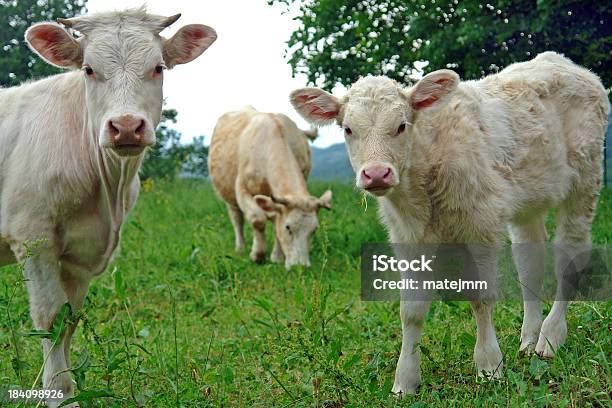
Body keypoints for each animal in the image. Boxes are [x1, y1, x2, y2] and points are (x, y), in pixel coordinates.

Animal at [0, 8, 216, 404]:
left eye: (159, 67)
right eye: (88, 69)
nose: (126, 126)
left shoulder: (82, 252)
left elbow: (69, 319)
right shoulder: (32, 238)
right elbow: (50, 317)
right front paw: (58, 395)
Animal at [212, 107, 334, 270]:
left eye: (314, 229)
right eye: (288, 227)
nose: (300, 266)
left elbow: (276, 222)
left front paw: (276, 257)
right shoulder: (242, 190)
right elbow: (257, 219)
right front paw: (257, 255)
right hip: (229, 195)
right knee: (237, 218)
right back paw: (240, 247)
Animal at [290, 52, 608, 394]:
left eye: (401, 126)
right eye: (348, 129)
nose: (376, 174)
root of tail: (566, 64)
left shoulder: (481, 223)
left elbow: (480, 297)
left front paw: (489, 366)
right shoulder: (408, 238)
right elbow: (411, 311)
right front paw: (405, 380)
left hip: (585, 180)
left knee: (570, 257)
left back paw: (550, 337)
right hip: (529, 201)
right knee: (530, 264)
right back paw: (528, 339)